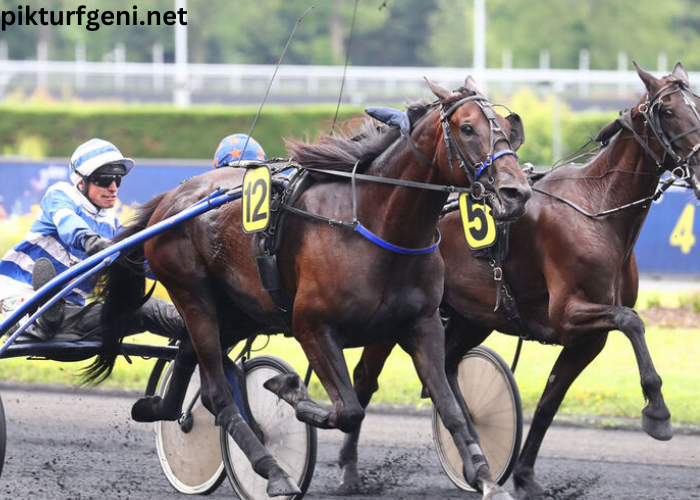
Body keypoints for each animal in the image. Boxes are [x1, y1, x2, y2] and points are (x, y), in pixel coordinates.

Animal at [91, 76, 532, 498]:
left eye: (507, 128)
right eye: (467, 127)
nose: (517, 192)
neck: (375, 224)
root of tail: (170, 199)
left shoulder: (422, 325)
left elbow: (450, 407)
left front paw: (487, 480)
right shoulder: (311, 325)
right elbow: (348, 409)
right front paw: (288, 389)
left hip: (237, 310)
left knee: (188, 355)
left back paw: (158, 408)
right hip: (193, 295)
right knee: (217, 393)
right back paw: (273, 471)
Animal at [346, 60, 700, 498]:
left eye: (697, 104)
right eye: (667, 110)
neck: (597, 210)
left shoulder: (588, 338)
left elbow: (550, 401)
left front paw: (526, 475)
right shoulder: (568, 313)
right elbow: (632, 321)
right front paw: (658, 412)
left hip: (471, 317)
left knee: (446, 366)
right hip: (397, 316)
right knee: (366, 378)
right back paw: (350, 470)